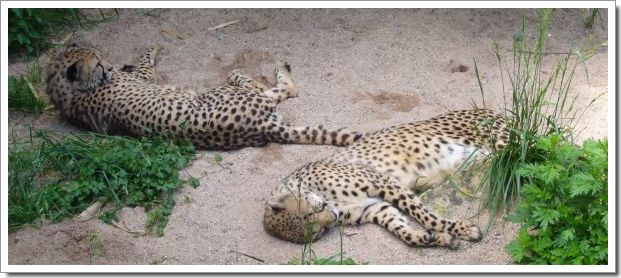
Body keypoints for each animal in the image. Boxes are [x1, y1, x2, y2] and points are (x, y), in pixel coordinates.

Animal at [44, 42, 364, 150]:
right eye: (97, 64)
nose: (109, 67)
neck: (69, 96)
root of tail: (263, 128)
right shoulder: (144, 77)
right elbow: (146, 60)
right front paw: (153, 48)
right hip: (226, 94)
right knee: (282, 90)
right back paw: (257, 72)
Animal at [262, 108, 508, 248]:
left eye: (312, 212)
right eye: (317, 232)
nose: (331, 220)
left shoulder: (385, 183)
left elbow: (426, 217)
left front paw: (462, 229)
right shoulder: (376, 209)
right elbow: (404, 232)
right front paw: (435, 239)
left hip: (502, 141)